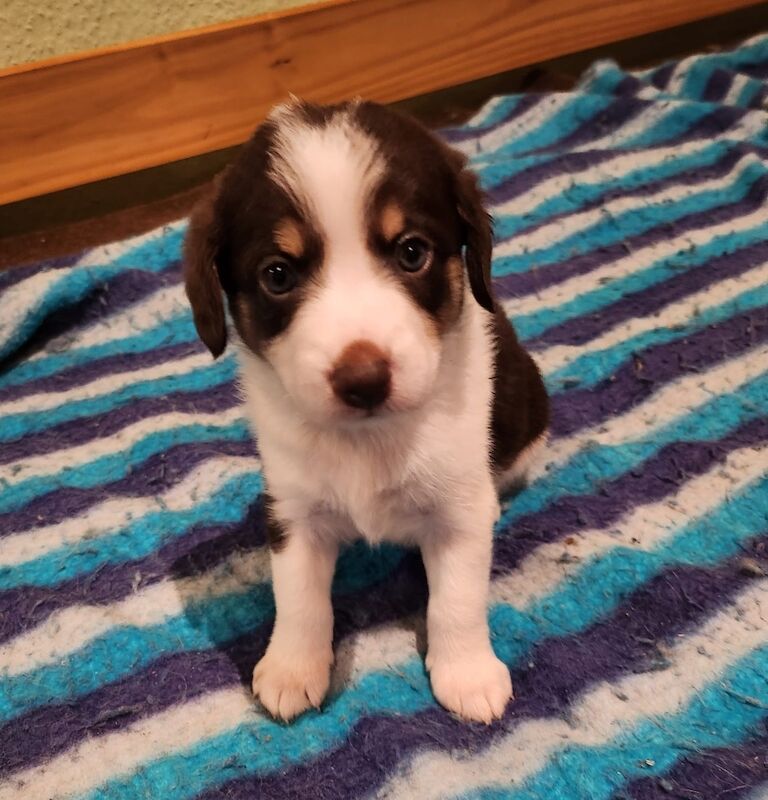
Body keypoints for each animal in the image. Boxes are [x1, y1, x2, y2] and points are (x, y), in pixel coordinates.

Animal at [184, 101, 544, 724]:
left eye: (412, 252)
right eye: (277, 275)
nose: (364, 380)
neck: (370, 439)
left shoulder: (460, 508)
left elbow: (457, 599)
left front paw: (467, 674)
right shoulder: (292, 507)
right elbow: (298, 597)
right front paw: (292, 668)